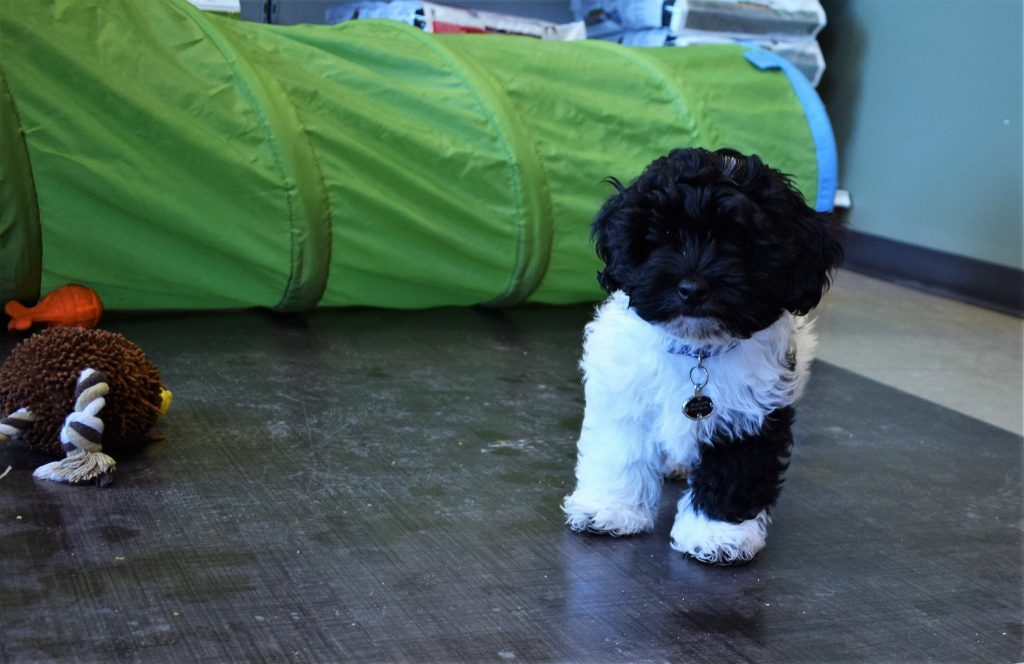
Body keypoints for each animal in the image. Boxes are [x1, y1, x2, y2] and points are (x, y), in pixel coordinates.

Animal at [561, 147, 839, 561]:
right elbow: (619, 452)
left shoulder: (754, 409)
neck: (697, 350)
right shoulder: (624, 393)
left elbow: (735, 470)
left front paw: (718, 533)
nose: (692, 288)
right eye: (664, 235)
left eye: (739, 241)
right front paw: (610, 509)